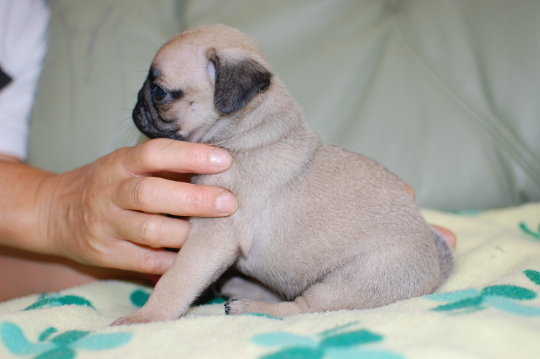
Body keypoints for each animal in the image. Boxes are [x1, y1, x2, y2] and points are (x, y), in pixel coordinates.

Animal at [112, 23, 454, 324]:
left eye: (159, 92)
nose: (136, 104)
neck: (248, 133)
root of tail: (435, 270)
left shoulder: (212, 234)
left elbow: (175, 280)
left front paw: (145, 317)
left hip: (354, 280)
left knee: (302, 308)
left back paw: (249, 306)